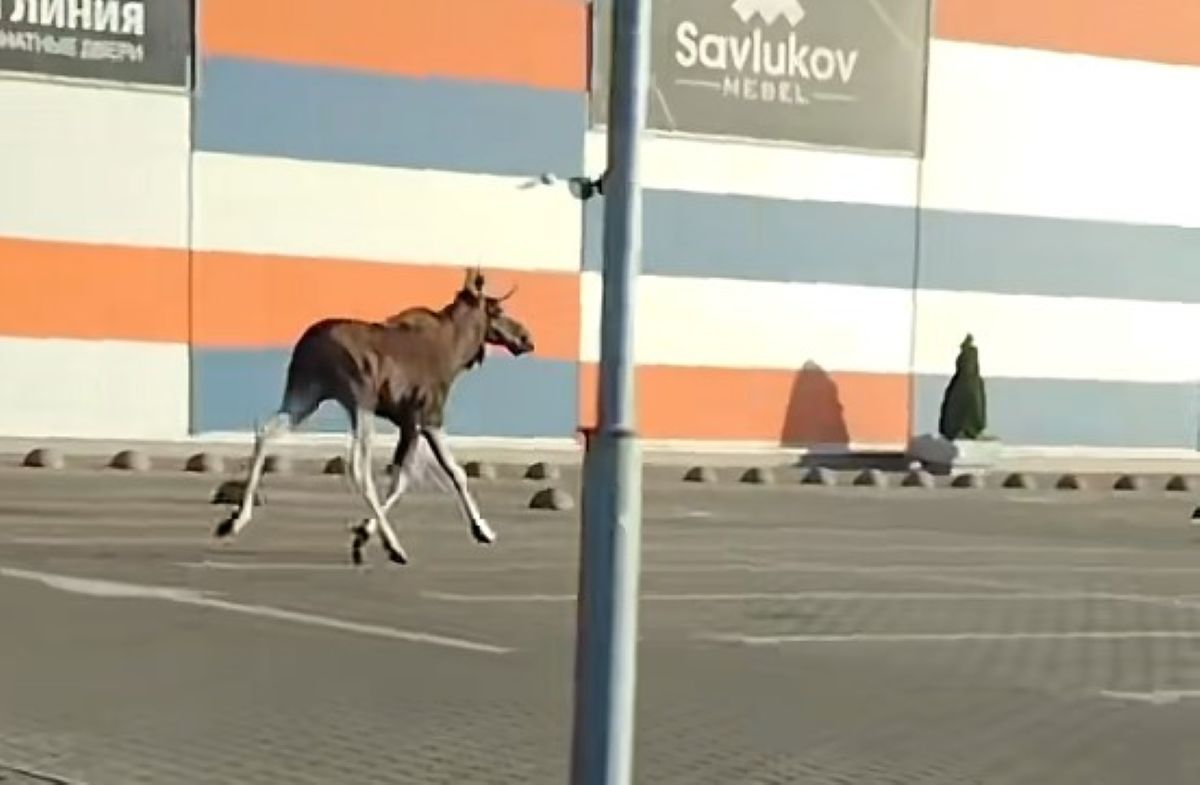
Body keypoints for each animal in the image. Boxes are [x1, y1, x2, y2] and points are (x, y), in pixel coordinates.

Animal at [213, 267, 536, 566]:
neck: (456, 351)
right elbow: (417, 477)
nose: (526, 338)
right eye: (498, 311)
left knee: (265, 432)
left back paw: (234, 521)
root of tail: (309, 346)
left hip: (304, 395)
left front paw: (482, 530)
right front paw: (365, 535)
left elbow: (442, 473)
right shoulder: (424, 417)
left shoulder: (413, 422)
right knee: (357, 466)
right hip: (359, 401)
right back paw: (394, 547)